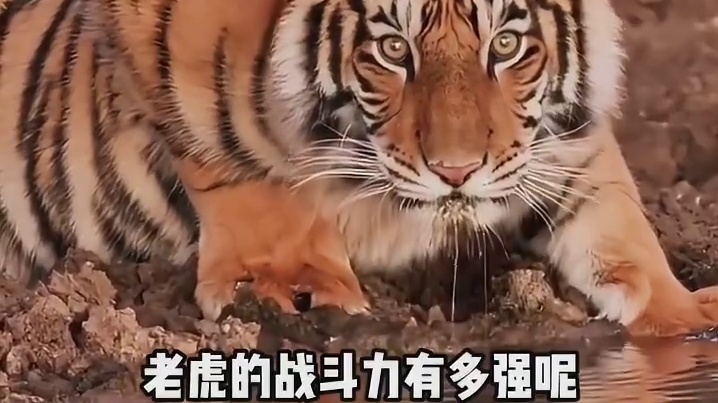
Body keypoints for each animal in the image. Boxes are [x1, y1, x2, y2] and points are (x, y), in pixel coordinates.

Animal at [1, 0, 717, 338]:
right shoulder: (166, 47)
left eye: (507, 45)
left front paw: (682, 313)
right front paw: (295, 289)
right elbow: (240, 168)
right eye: (393, 49)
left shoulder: (557, 146)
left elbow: (615, 212)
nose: (457, 173)